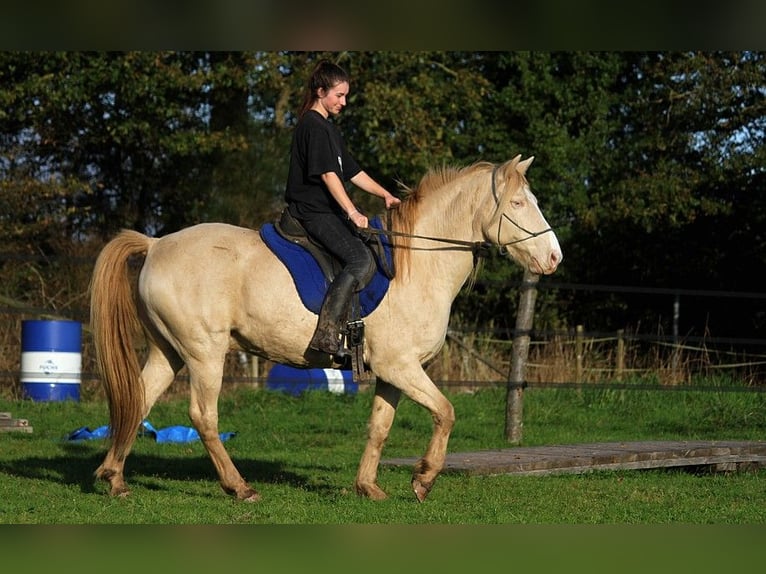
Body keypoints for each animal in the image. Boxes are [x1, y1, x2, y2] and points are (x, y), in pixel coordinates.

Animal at [90, 156, 560, 504]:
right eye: (519, 204)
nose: (555, 257)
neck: (417, 265)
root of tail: (155, 244)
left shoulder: (391, 373)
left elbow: (379, 427)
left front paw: (368, 487)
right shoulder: (402, 367)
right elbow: (446, 412)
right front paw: (424, 479)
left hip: (168, 351)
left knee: (138, 401)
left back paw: (114, 479)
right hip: (204, 352)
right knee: (203, 416)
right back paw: (239, 487)